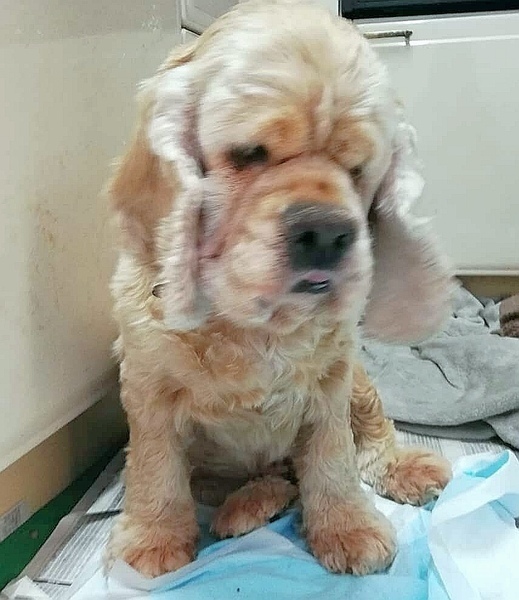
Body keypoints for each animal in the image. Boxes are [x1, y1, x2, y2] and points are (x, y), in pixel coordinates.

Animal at [106, 0, 454, 579]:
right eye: (249, 153)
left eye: (358, 169)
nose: (328, 234)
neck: (256, 323)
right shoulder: (149, 389)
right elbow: (156, 467)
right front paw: (153, 540)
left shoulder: (331, 384)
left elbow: (333, 459)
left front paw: (347, 528)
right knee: (252, 479)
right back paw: (246, 506)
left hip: (359, 382)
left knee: (369, 433)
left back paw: (403, 467)